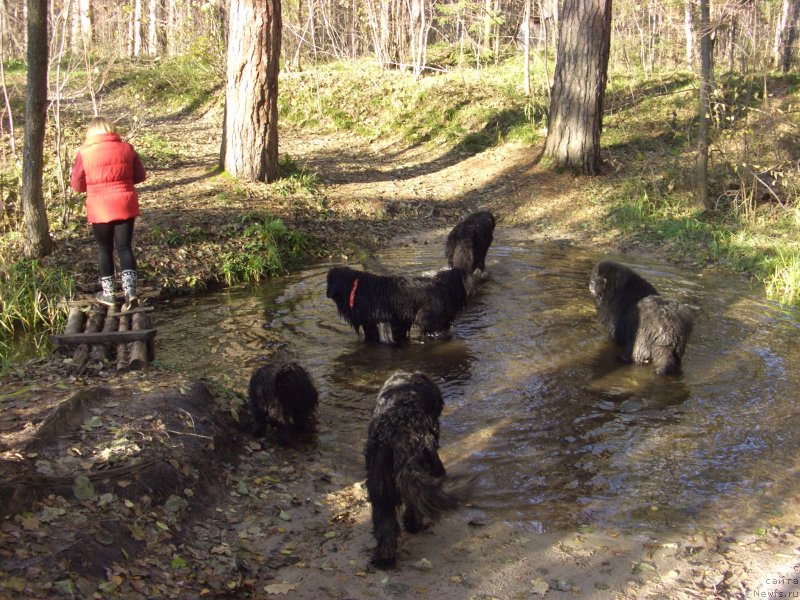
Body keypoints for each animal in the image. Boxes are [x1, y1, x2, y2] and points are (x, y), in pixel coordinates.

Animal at [326, 266, 476, 344]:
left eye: (329, 281)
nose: (327, 293)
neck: (356, 288)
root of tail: (444, 286)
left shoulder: (376, 321)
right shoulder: (398, 321)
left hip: (428, 321)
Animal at [362, 368, 476, 568]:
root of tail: (398, 436)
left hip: (380, 486)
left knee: (385, 524)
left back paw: (384, 559)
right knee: (413, 507)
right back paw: (415, 527)